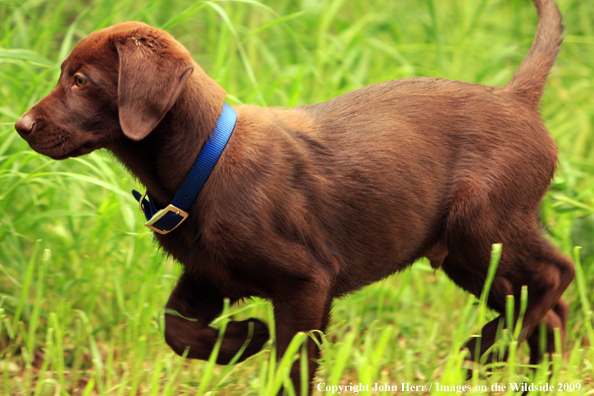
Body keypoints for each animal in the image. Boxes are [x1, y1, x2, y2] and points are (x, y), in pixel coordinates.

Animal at [15, 0, 572, 392]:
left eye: (80, 80)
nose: (20, 126)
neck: (202, 163)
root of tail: (517, 98)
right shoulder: (210, 274)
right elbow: (176, 328)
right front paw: (245, 339)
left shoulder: (306, 283)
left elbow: (293, 366)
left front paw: (254, 342)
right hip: (464, 255)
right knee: (546, 308)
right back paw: (536, 376)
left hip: (480, 225)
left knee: (555, 276)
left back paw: (487, 348)